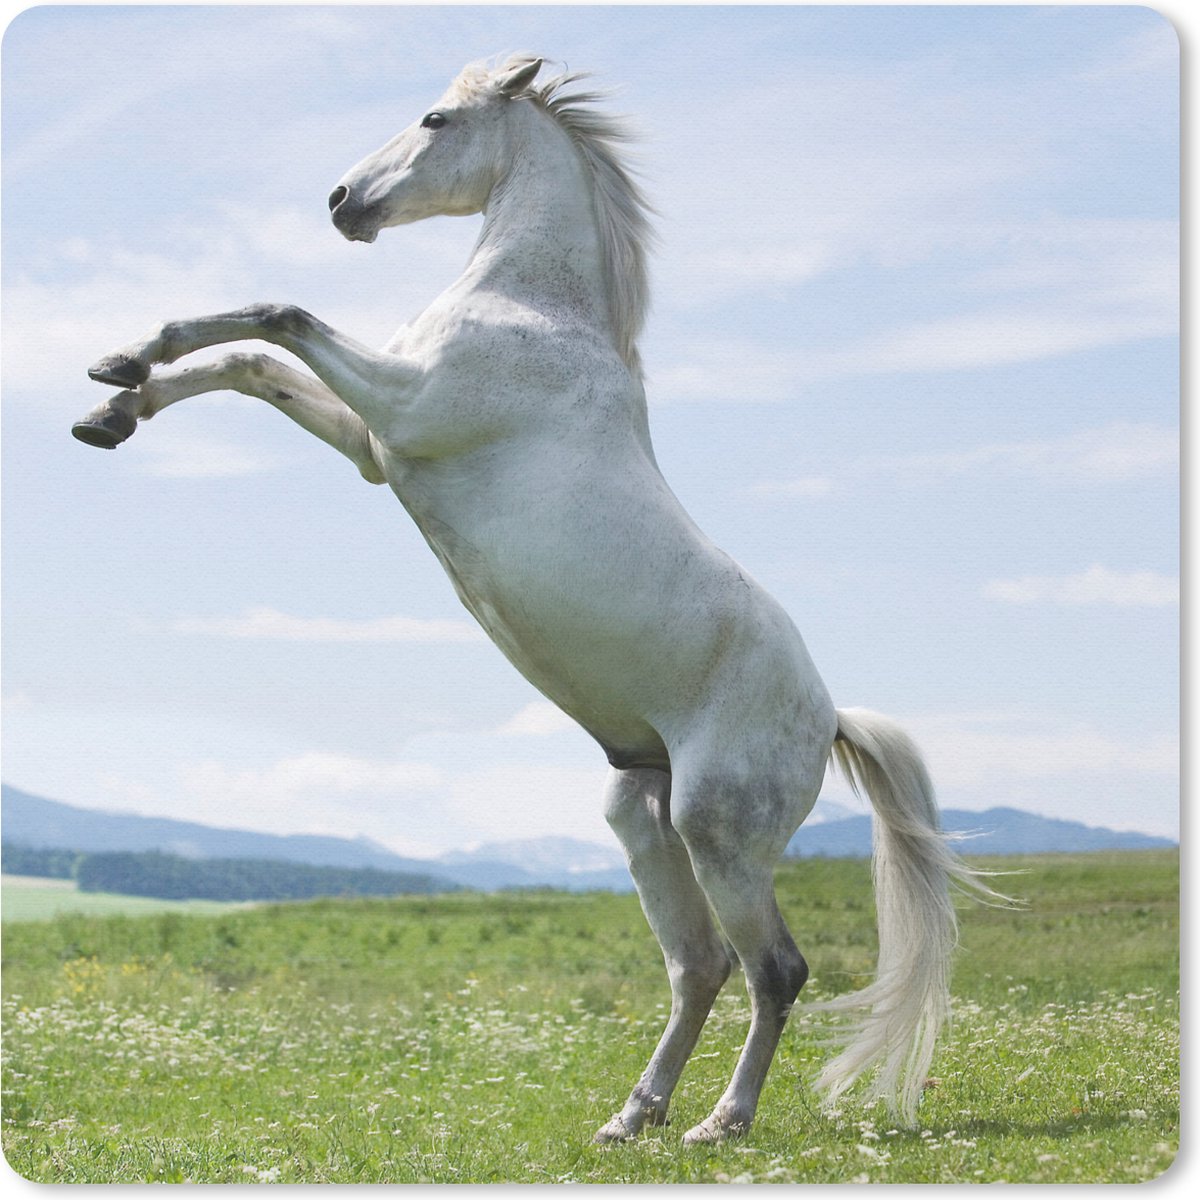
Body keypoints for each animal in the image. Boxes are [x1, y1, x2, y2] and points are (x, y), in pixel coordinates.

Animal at [73, 54, 1004, 1144]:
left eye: (436, 118)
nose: (343, 202)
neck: (534, 308)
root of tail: (829, 718)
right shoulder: (373, 444)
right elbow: (251, 364)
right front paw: (114, 396)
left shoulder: (403, 406)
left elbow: (277, 318)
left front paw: (125, 367)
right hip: (643, 818)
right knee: (699, 966)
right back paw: (632, 1116)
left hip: (719, 835)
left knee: (775, 969)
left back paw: (719, 1120)